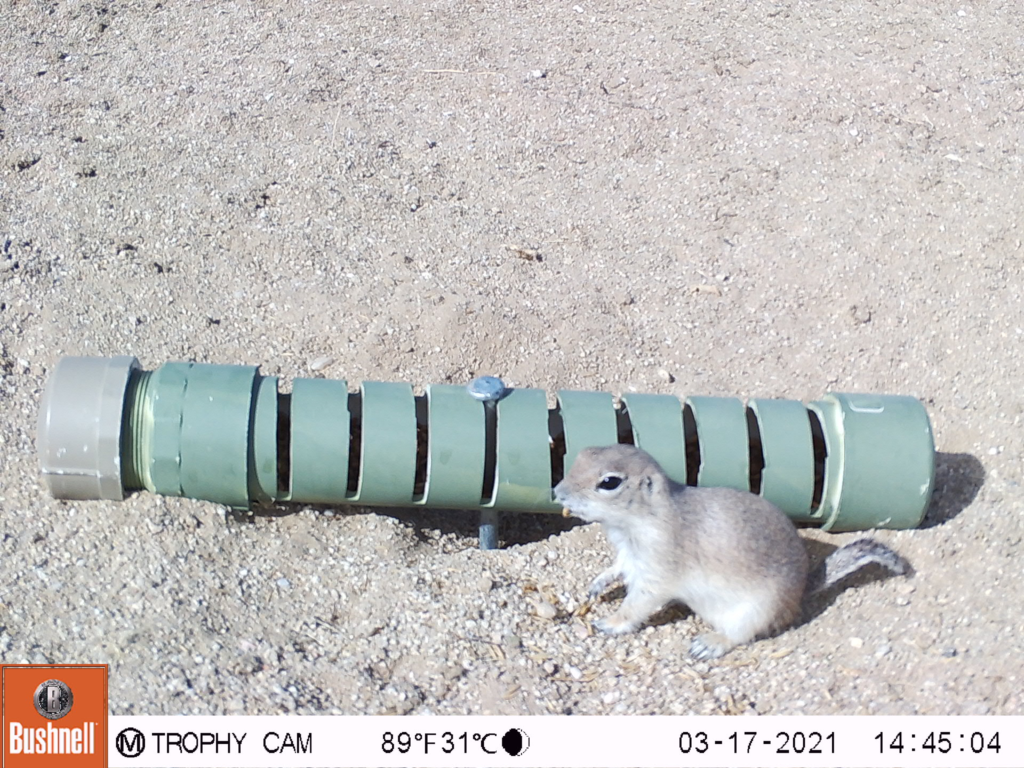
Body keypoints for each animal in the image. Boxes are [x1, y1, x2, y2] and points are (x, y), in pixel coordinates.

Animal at [557, 444, 909, 663]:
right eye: (583, 453)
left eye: (609, 482)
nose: (557, 492)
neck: (642, 519)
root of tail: (801, 591)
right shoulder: (628, 556)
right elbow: (615, 567)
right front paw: (596, 585)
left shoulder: (657, 571)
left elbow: (637, 605)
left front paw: (609, 622)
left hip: (756, 612)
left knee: (741, 636)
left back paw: (710, 643)